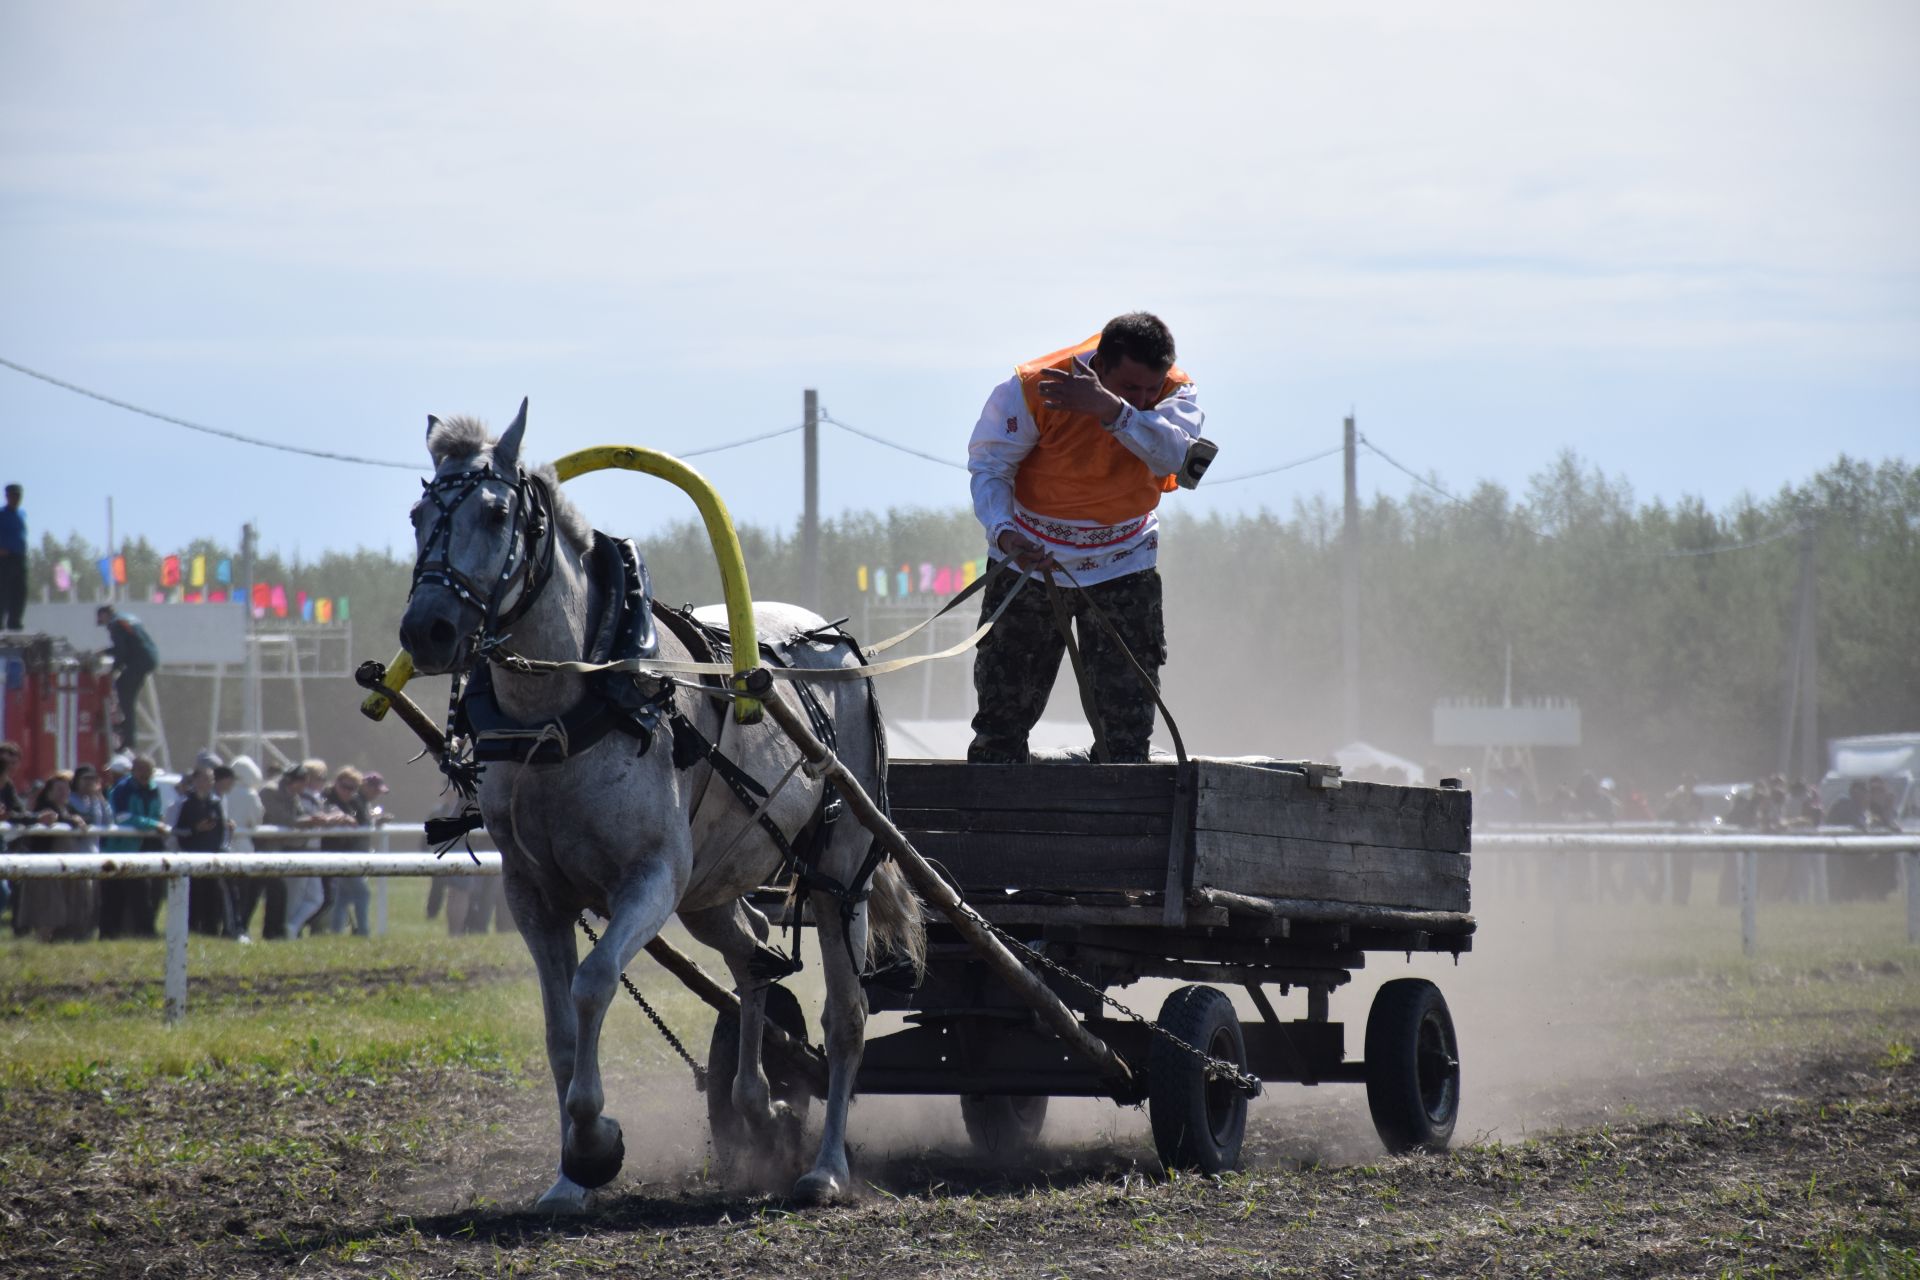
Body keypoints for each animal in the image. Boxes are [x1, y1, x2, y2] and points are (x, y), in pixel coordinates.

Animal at [395, 408, 921, 1212]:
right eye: (418, 515)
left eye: (493, 512)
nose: (427, 630)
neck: (570, 709)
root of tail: (832, 642)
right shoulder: (532, 892)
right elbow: (560, 1030)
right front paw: (567, 1180)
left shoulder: (650, 881)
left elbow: (592, 985)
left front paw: (595, 1143)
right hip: (711, 889)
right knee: (755, 956)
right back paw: (757, 1102)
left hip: (839, 874)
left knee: (846, 1017)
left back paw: (826, 1168)